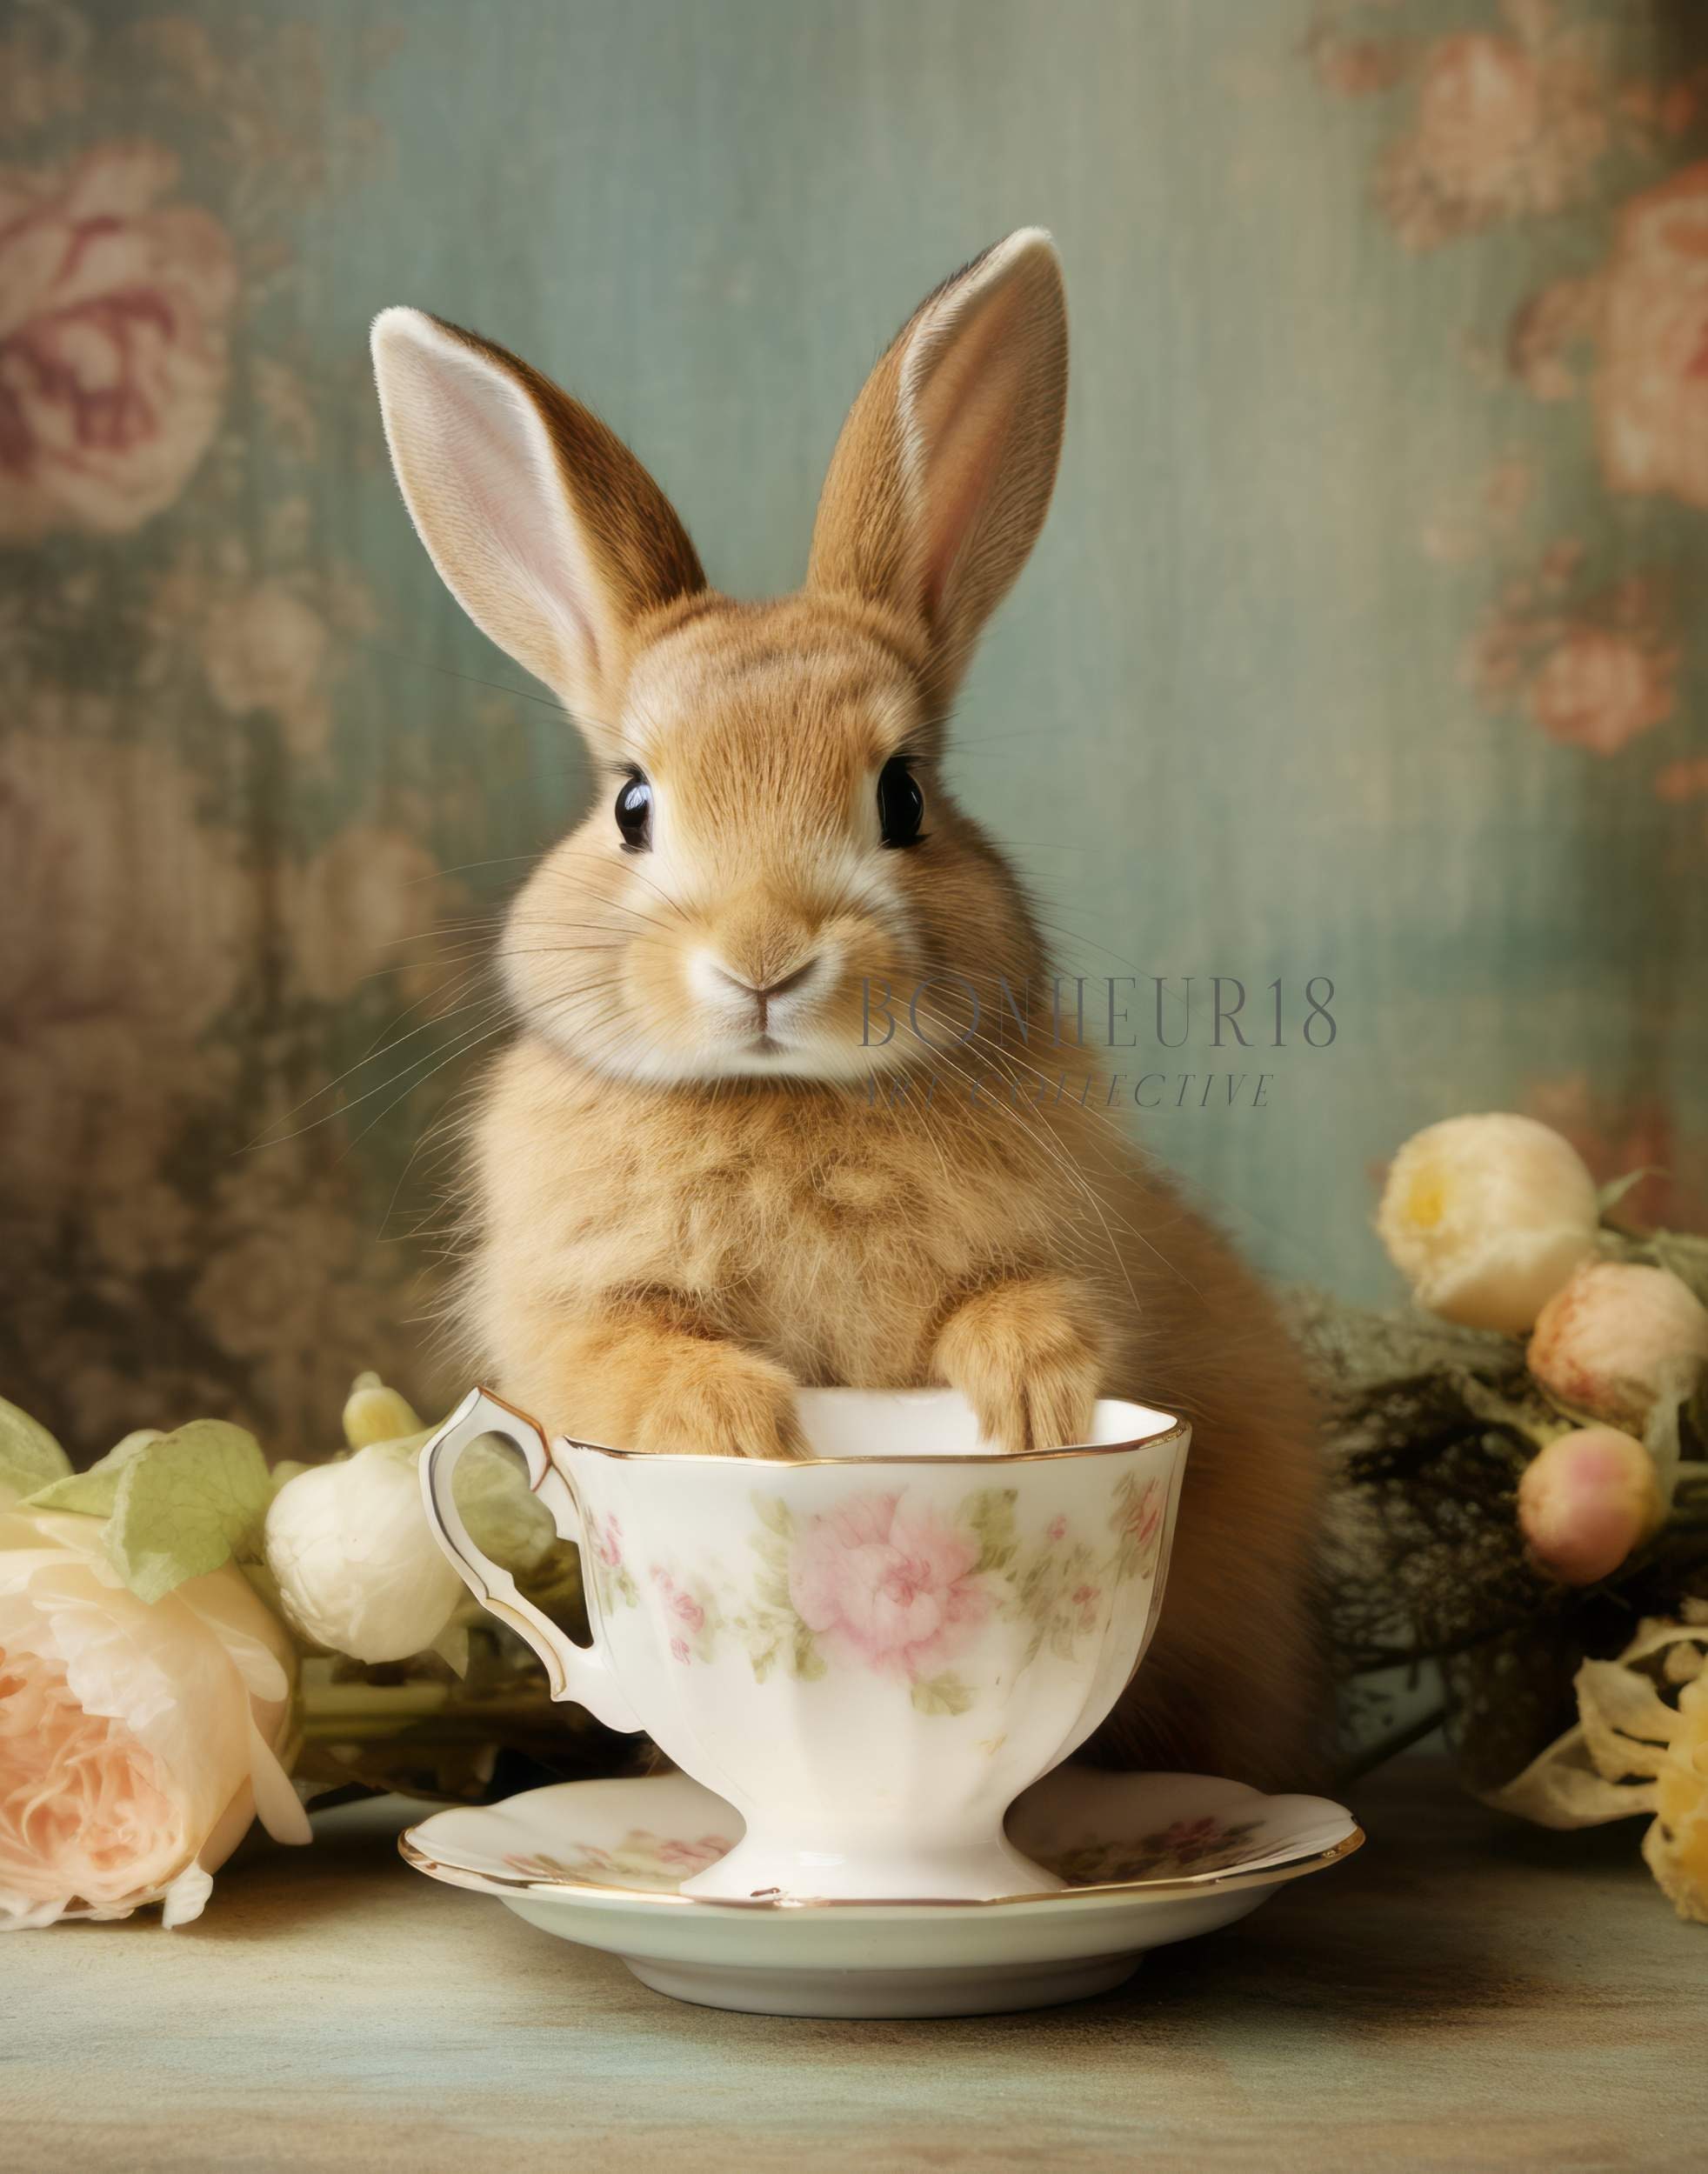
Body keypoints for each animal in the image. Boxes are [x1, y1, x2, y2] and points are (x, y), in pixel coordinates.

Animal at [371, 229, 1322, 1788]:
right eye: (632, 806)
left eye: (903, 797)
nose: (764, 961)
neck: (784, 1101)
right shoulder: (569, 1313)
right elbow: (633, 1350)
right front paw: (737, 1426)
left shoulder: (1070, 1250)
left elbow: (1025, 1304)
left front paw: (1032, 1401)